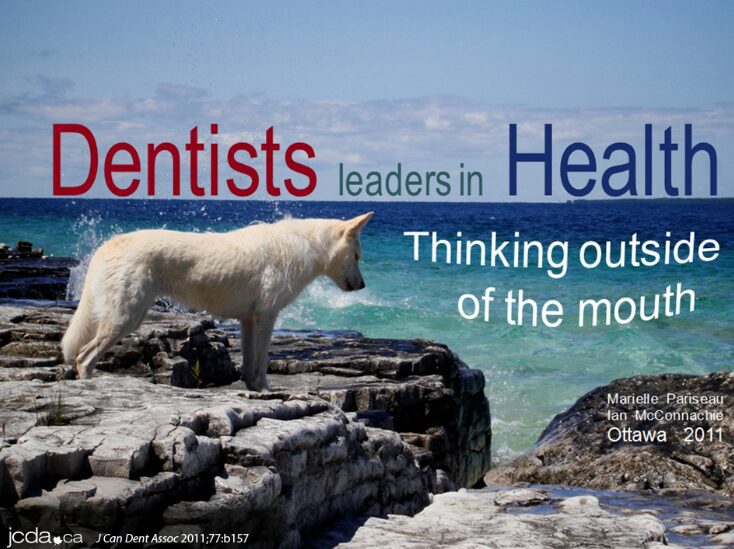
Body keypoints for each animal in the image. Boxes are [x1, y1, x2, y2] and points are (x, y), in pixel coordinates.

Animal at [61, 211, 374, 390]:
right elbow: (262, 362)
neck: (306, 247)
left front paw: (253, 391)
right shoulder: (266, 317)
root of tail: (106, 246)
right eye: (358, 256)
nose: (363, 285)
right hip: (125, 319)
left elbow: (249, 364)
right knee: (84, 357)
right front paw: (267, 392)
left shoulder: (248, 321)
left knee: (83, 355)